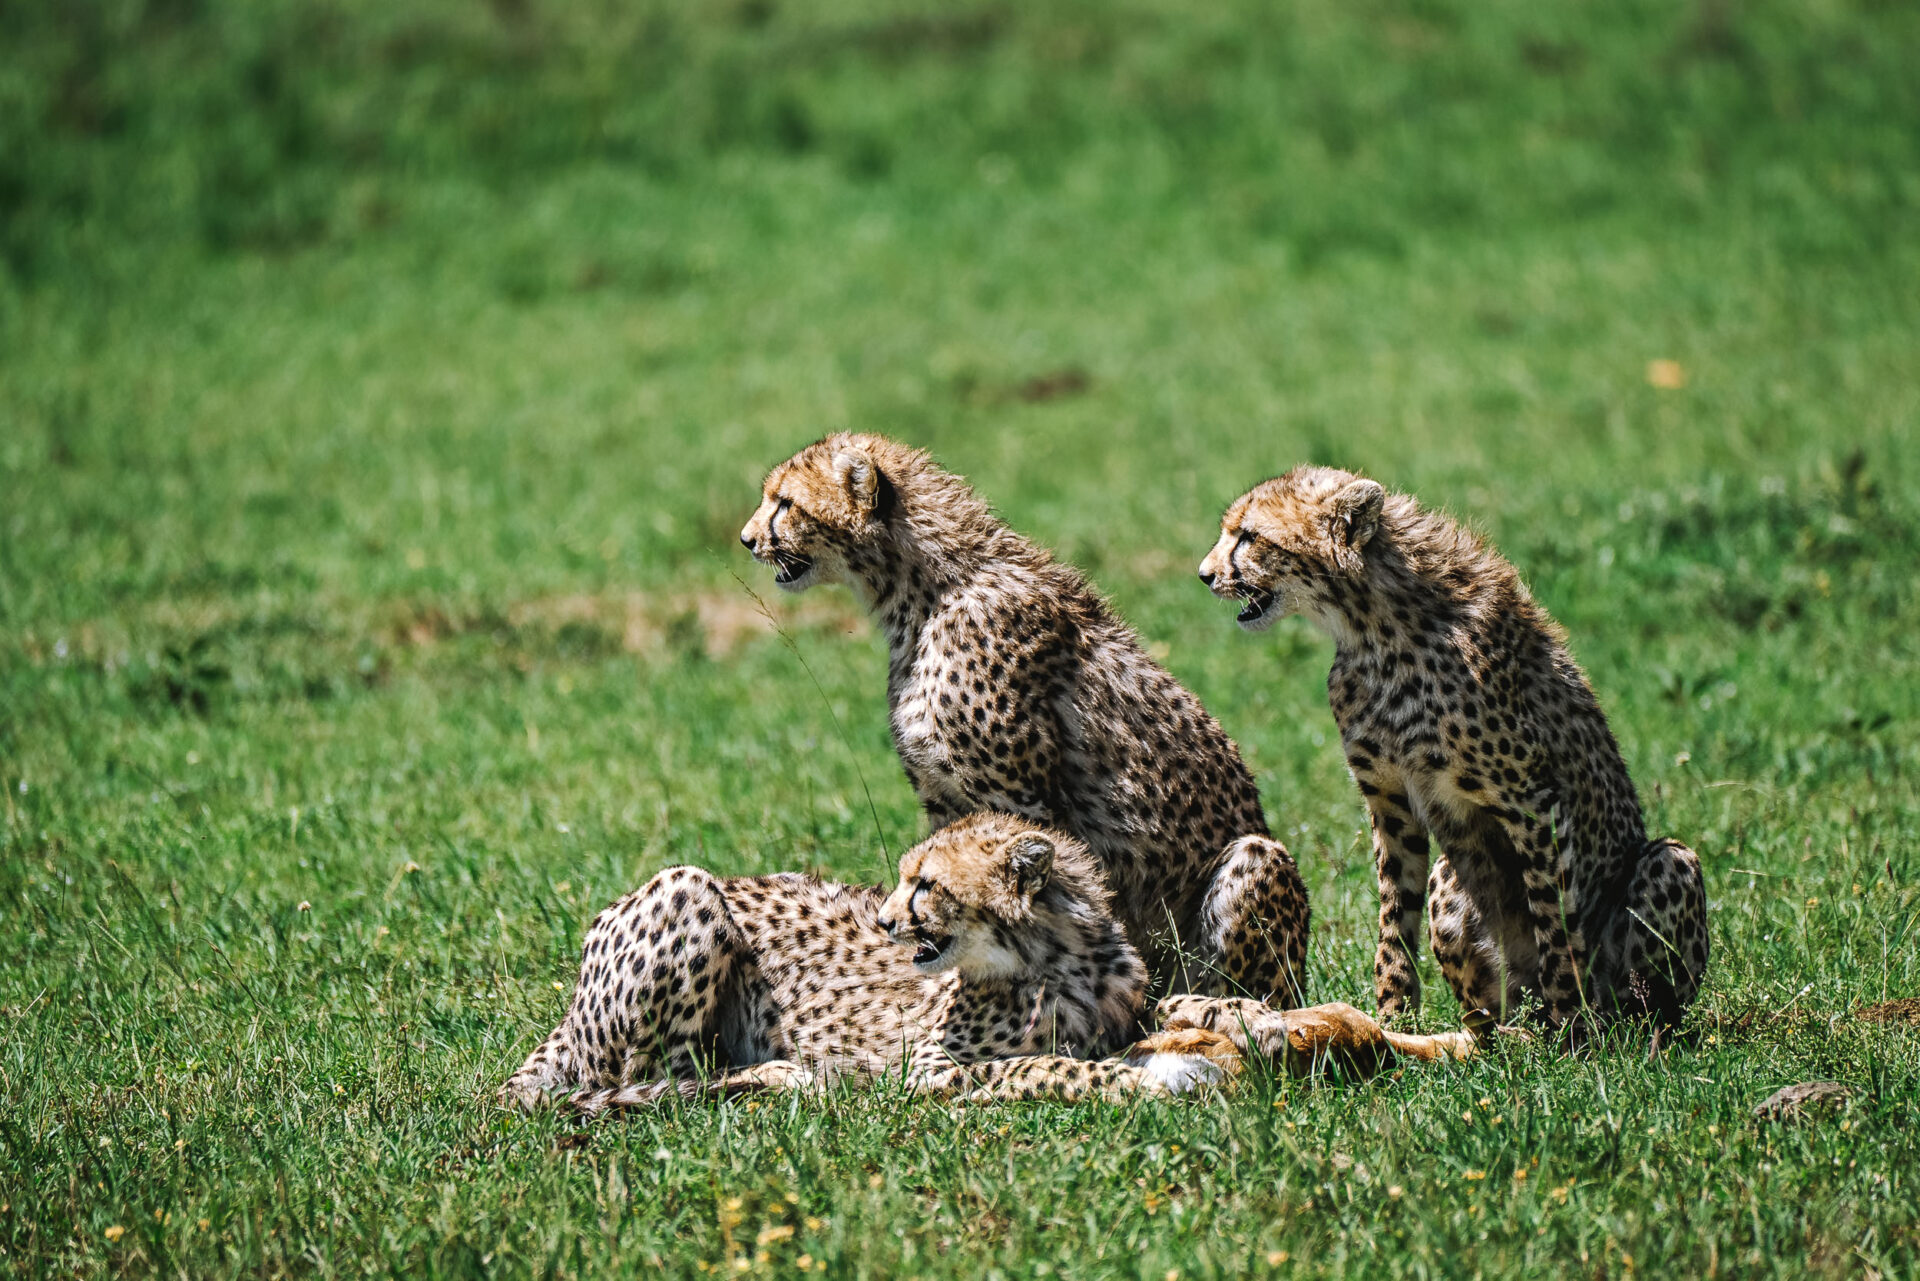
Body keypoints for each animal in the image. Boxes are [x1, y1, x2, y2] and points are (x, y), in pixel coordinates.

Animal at [499, 821, 1228, 1113]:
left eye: (925, 884)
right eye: (904, 878)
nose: (881, 919)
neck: (1057, 961)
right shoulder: (920, 1068)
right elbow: (1038, 1065)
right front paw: (1157, 1077)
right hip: (688, 885)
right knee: (662, 1079)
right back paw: (781, 1077)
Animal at [741, 435, 1313, 1006]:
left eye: (785, 503)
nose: (747, 540)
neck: (925, 589)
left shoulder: (1020, 801)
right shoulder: (943, 801)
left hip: (1257, 864)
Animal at [1198, 466, 1712, 1037]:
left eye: (1250, 536)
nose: (1204, 575)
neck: (1372, 626)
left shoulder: (1532, 801)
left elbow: (1554, 919)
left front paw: (1573, 1029)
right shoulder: (1391, 803)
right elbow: (1394, 916)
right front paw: (1392, 1021)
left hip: (1670, 869)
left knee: (1647, 992)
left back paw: (1609, 1028)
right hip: (1452, 883)